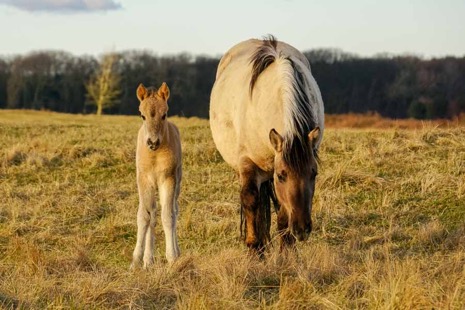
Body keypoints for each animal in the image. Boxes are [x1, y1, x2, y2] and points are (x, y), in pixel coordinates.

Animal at [131, 82, 182, 268]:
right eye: (142, 115)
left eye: (164, 114)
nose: (153, 142)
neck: (154, 155)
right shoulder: (144, 181)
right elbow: (145, 217)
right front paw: (136, 260)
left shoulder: (168, 179)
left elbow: (168, 216)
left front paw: (172, 257)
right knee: (151, 214)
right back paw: (147, 260)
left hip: (177, 183)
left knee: (174, 211)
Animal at [208, 35, 320, 252]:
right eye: (282, 175)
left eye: (314, 173)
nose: (302, 229)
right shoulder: (248, 165)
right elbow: (251, 201)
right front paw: (255, 248)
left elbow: (283, 213)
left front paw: (286, 251)